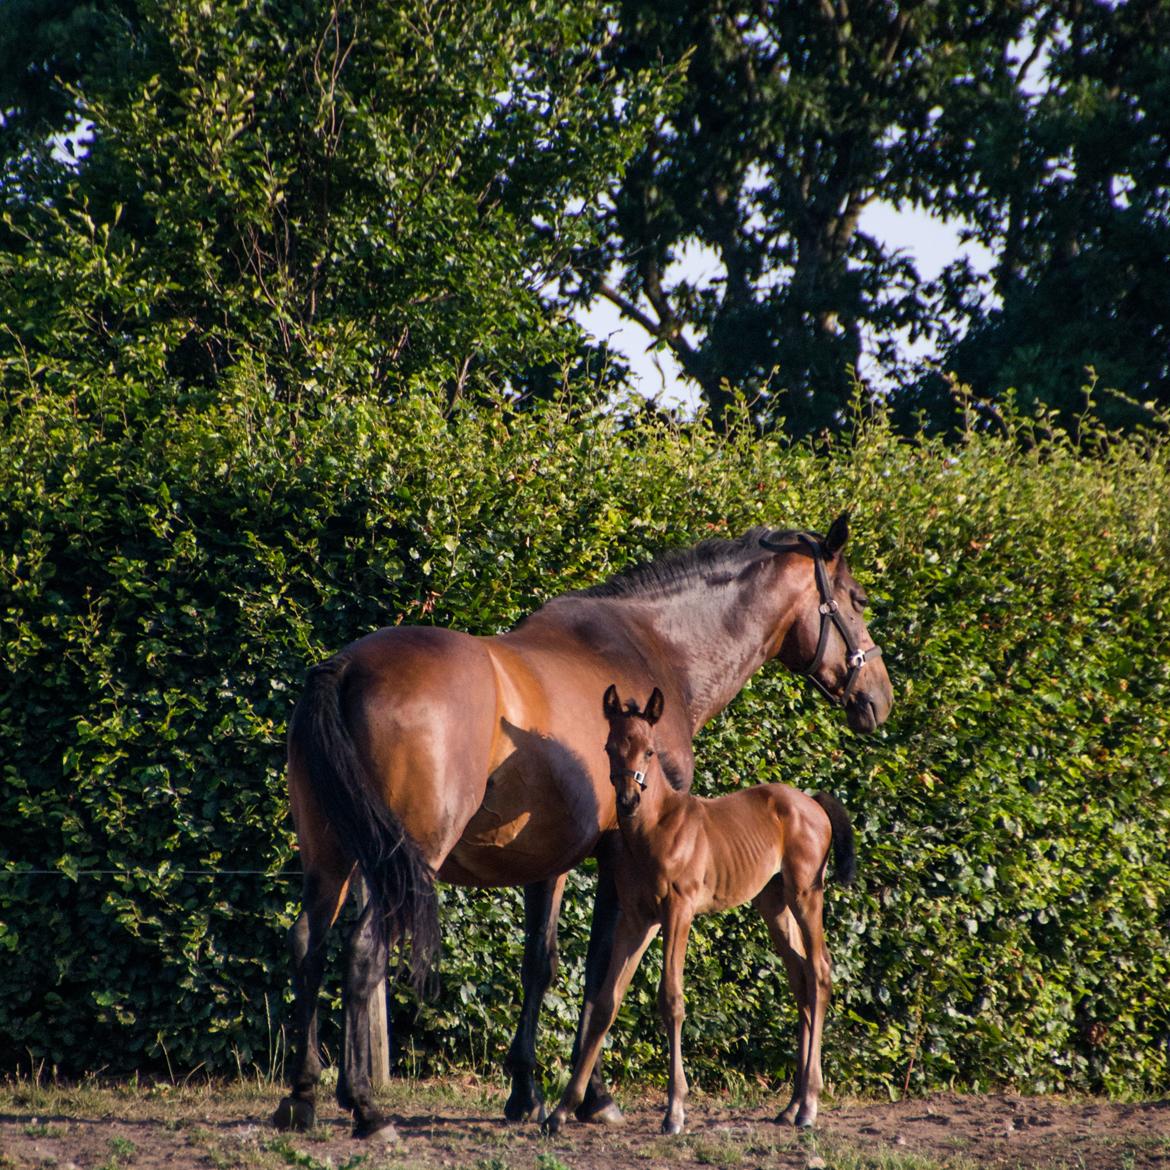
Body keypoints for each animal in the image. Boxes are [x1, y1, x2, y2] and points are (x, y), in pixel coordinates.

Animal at [542, 683, 856, 1132]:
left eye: (650, 751)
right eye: (609, 748)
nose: (628, 799)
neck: (656, 828)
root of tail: (812, 801)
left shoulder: (679, 912)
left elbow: (671, 998)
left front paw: (675, 1110)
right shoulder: (638, 920)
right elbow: (606, 1002)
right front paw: (563, 1109)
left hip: (805, 894)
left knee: (819, 971)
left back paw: (810, 1105)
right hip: (773, 903)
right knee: (800, 977)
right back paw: (792, 1105)